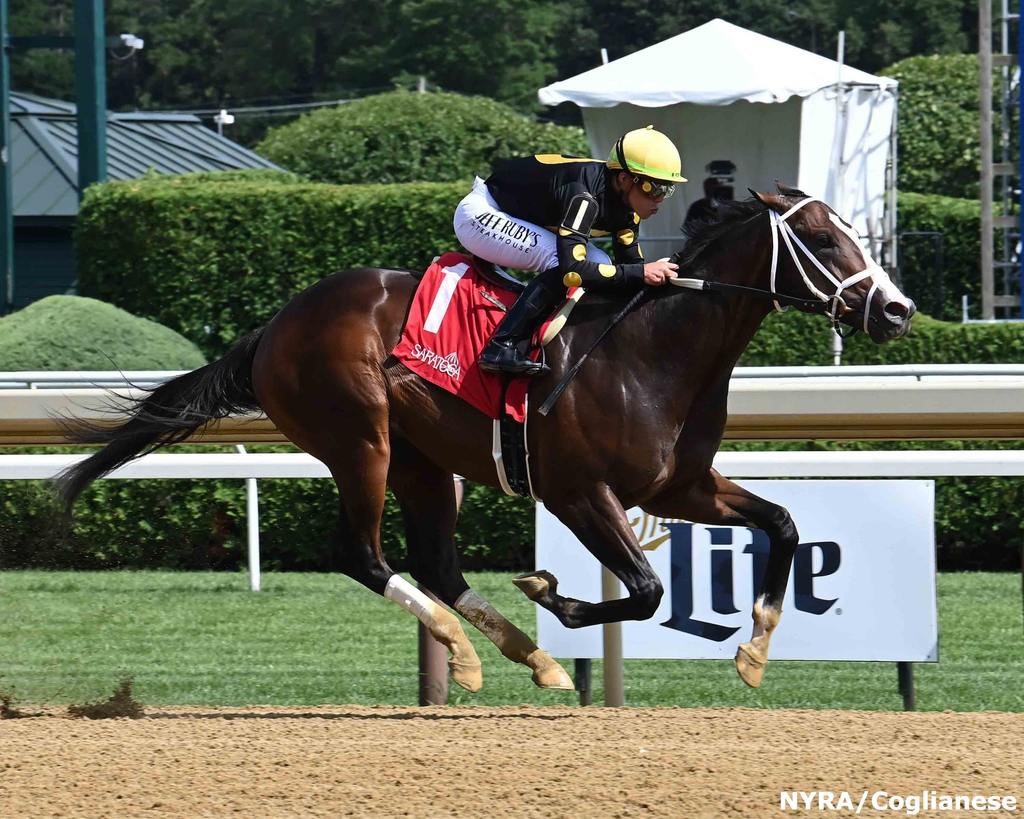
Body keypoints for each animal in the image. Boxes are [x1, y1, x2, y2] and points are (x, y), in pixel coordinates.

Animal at [59, 187, 917, 696]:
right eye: (822, 239)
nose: (898, 310)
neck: (653, 347)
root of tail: (275, 324)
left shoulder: (677, 485)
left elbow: (784, 524)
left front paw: (755, 647)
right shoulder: (578, 490)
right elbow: (644, 589)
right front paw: (552, 594)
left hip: (423, 462)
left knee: (438, 562)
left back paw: (530, 658)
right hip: (359, 440)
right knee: (365, 554)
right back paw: (462, 646)